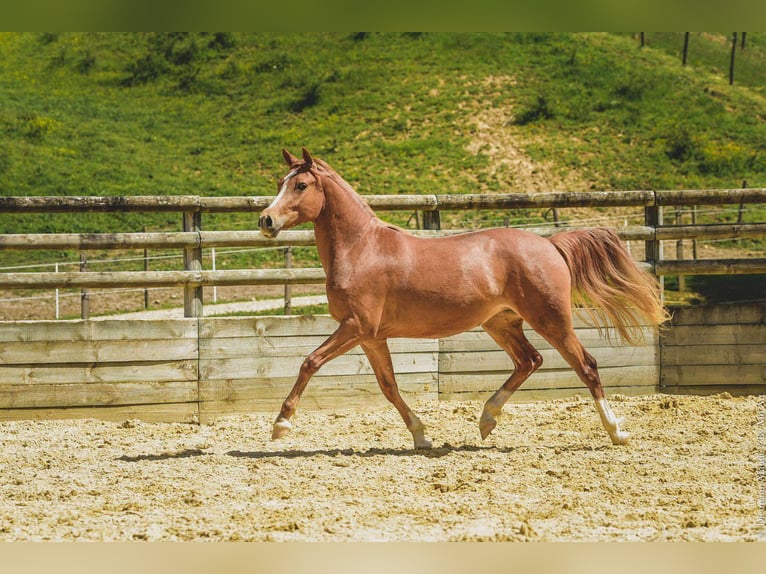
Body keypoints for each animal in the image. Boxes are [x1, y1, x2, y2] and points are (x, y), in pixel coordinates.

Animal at [260, 148, 668, 450]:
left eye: (300, 185)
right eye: (281, 182)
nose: (265, 221)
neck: (362, 249)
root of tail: (549, 244)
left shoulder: (355, 327)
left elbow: (310, 362)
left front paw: (281, 424)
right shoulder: (372, 337)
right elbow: (389, 387)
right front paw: (421, 436)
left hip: (551, 319)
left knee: (586, 366)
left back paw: (617, 432)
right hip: (500, 322)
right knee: (530, 361)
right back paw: (486, 420)